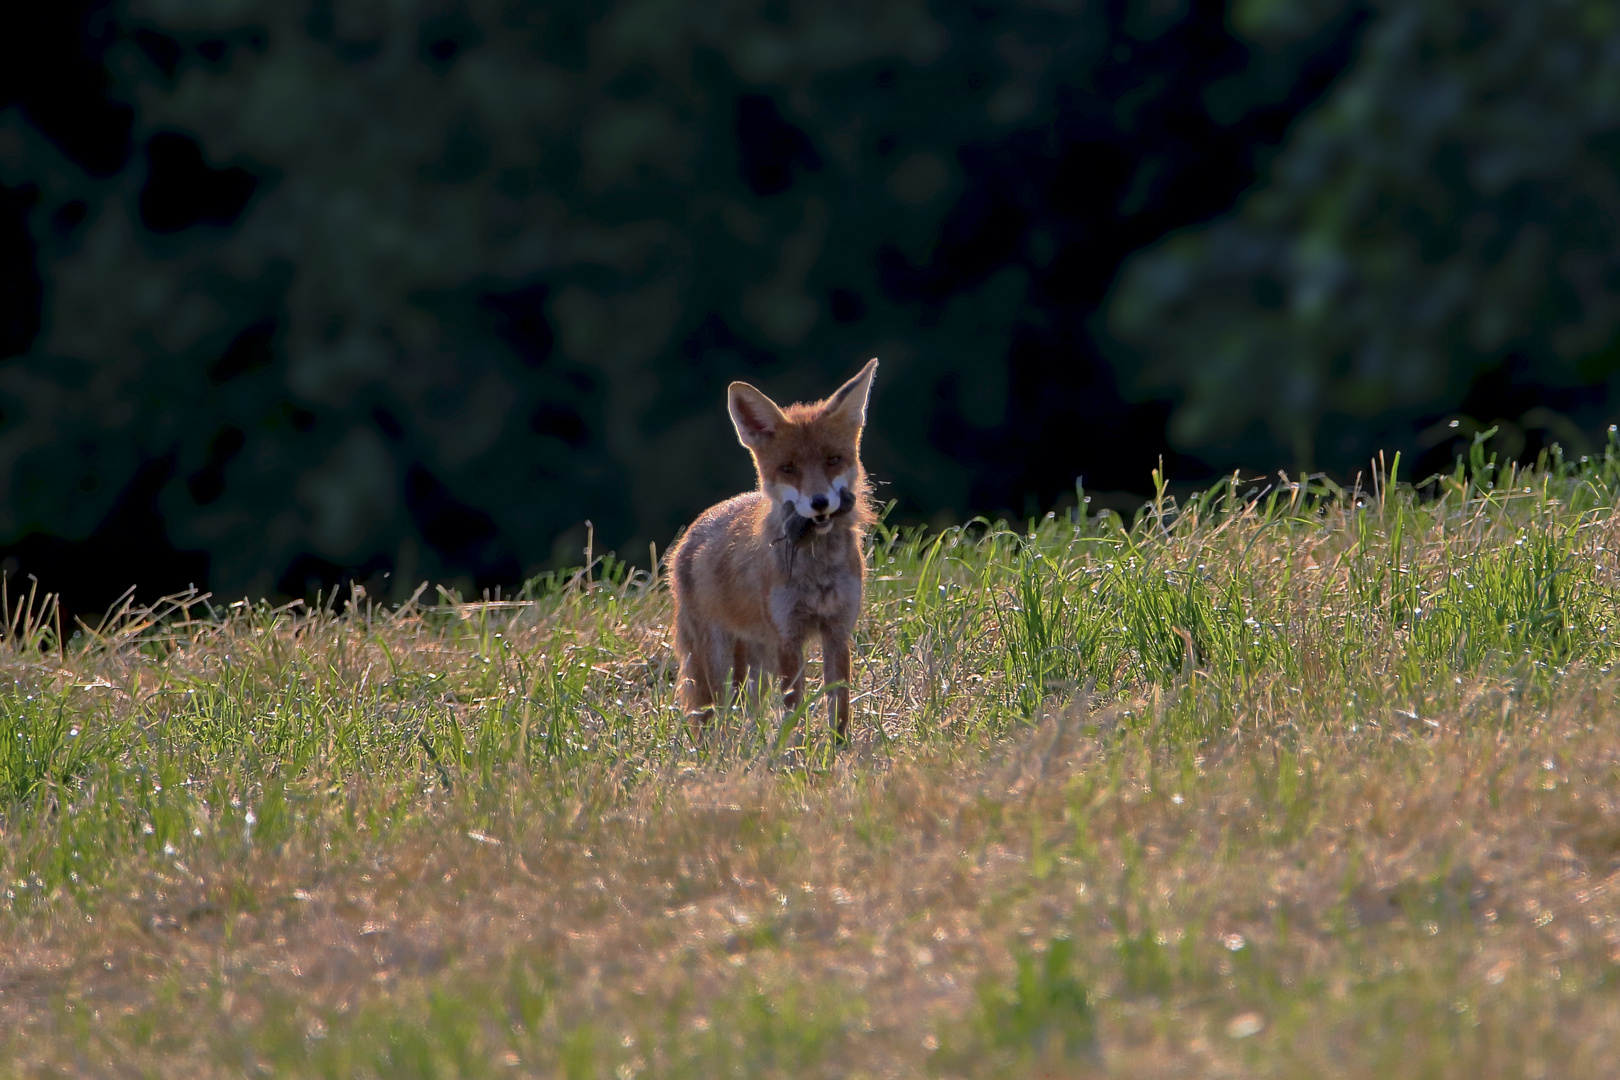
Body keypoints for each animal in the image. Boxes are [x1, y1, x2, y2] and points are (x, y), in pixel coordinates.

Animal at [667, 359, 881, 738]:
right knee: (716, 715)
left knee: (751, 709)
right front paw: (797, 749)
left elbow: (838, 706)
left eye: (833, 459)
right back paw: (718, 750)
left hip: (758, 660)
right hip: (719, 660)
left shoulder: (837, 631)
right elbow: (794, 709)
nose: (819, 503)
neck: (817, 572)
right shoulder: (788, 638)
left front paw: (839, 748)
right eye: (788, 468)